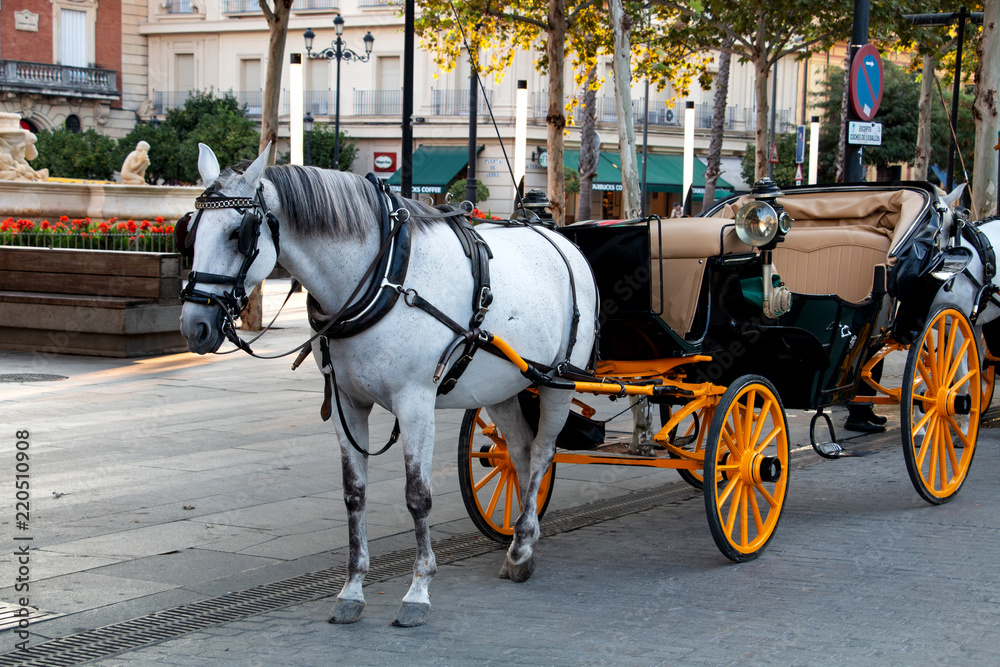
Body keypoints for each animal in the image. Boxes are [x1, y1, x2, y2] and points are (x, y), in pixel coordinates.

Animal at [179, 144, 596, 628]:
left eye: (238, 234)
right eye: (190, 232)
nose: (195, 326)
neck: (383, 277)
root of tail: (559, 238)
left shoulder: (415, 402)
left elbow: (418, 496)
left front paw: (418, 591)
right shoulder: (346, 403)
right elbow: (354, 494)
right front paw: (352, 590)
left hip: (559, 379)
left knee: (545, 451)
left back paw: (524, 543)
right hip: (505, 386)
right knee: (521, 452)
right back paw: (519, 544)